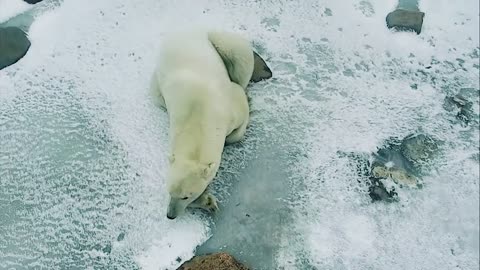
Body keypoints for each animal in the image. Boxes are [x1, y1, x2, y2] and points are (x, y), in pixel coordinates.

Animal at [150, 30, 270, 219]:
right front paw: (207, 202)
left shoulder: (230, 106)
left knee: (238, 57)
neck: (198, 118)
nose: (170, 215)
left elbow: (238, 122)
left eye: (186, 196)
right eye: (170, 192)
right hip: (156, 84)